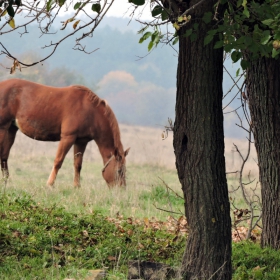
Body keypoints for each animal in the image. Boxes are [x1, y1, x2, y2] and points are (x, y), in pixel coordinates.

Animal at [0, 79, 130, 187]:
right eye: (119, 170)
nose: (121, 189)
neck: (90, 111)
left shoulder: (81, 141)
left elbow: (78, 165)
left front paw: (77, 187)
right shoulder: (68, 138)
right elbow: (58, 161)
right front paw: (50, 184)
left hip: (11, 129)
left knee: (4, 156)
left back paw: (6, 182)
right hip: (2, 128)